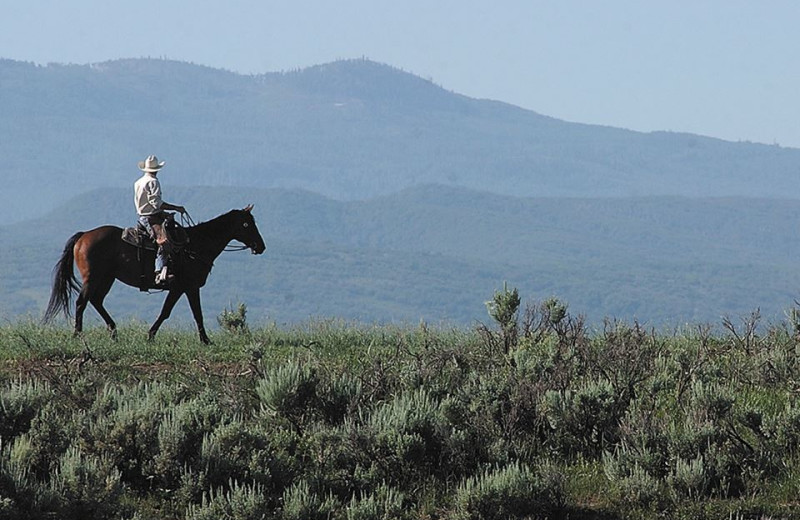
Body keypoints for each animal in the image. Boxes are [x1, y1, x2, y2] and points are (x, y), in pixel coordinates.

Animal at [44, 205, 266, 344]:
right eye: (246, 224)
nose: (261, 246)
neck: (196, 245)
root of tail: (83, 236)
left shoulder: (180, 288)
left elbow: (169, 311)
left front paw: (151, 335)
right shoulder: (188, 287)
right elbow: (192, 313)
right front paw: (205, 340)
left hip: (107, 278)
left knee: (96, 300)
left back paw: (114, 332)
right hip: (93, 278)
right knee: (82, 302)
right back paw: (78, 335)